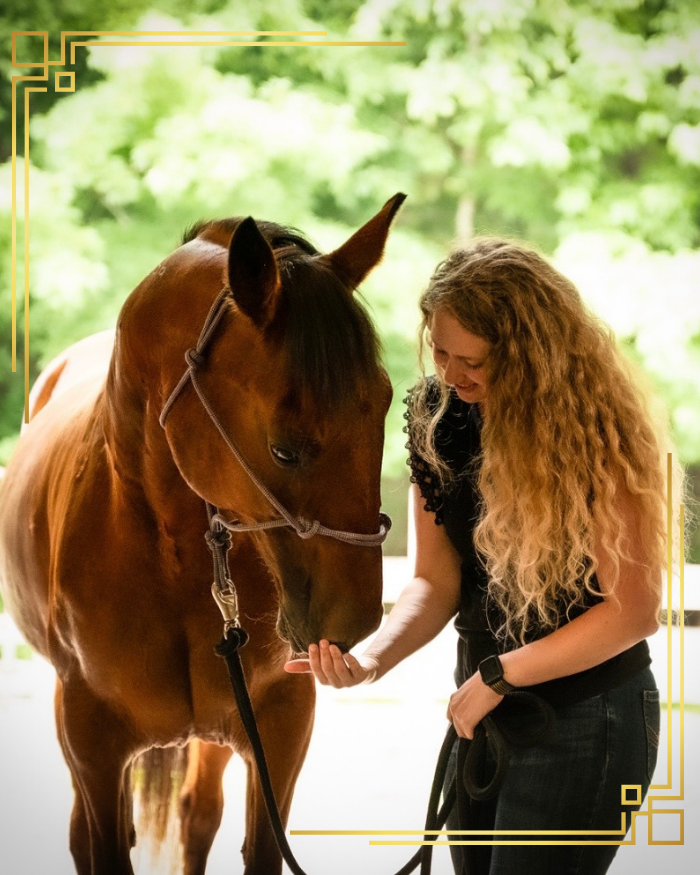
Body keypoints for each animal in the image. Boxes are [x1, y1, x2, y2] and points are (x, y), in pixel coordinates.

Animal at [0, 193, 405, 875]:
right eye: (284, 448)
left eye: (384, 403)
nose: (354, 623)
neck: (173, 563)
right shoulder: (92, 743)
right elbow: (101, 845)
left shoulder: (280, 728)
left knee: (197, 816)